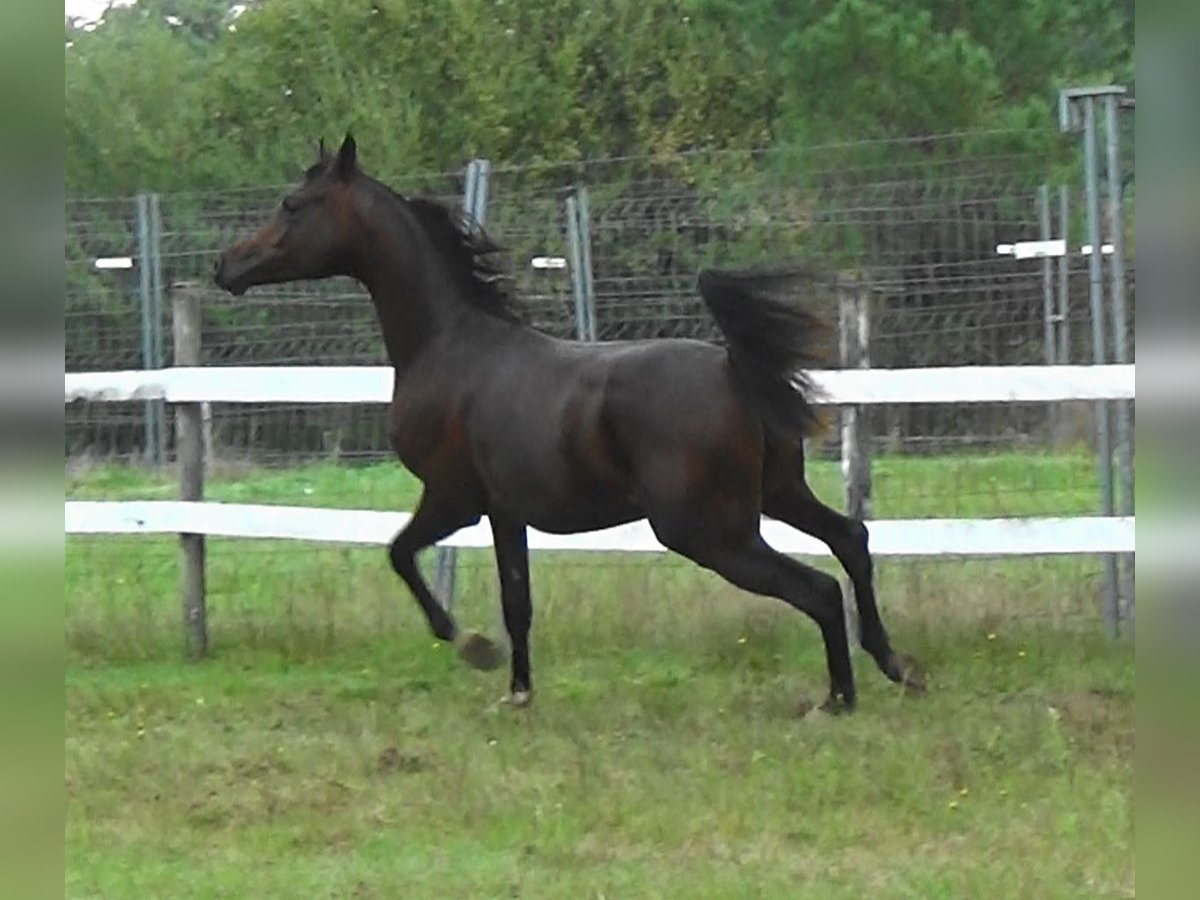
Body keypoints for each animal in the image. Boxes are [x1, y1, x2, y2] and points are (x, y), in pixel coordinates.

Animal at [213, 135, 926, 710]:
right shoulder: (504, 512)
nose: (225, 266)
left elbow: (400, 555)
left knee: (819, 588)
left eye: (293, 204)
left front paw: (472, 646)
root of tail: (735, 369)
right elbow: (517, 601)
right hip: (776, 494)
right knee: (852, 540)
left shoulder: (452, 498)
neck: (449, 346)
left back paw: (838, 698)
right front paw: (519, 693)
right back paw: (896, 666)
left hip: (709, 530)